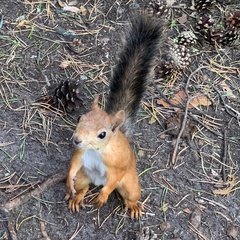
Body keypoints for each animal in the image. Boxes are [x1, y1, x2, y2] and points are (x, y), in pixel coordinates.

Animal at [64, 15, 164, 218]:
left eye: (102, 134)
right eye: (79, 118)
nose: (77, 139)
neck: (96, 150)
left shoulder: (117, 165)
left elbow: (112, 182)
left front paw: (102, 197)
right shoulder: (80, 153)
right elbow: (73, 165)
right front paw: (69, 181)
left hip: (131, 185)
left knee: (129, 194)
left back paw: (133, 206)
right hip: (83, 177)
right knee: (82, 188)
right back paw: (77, 198)